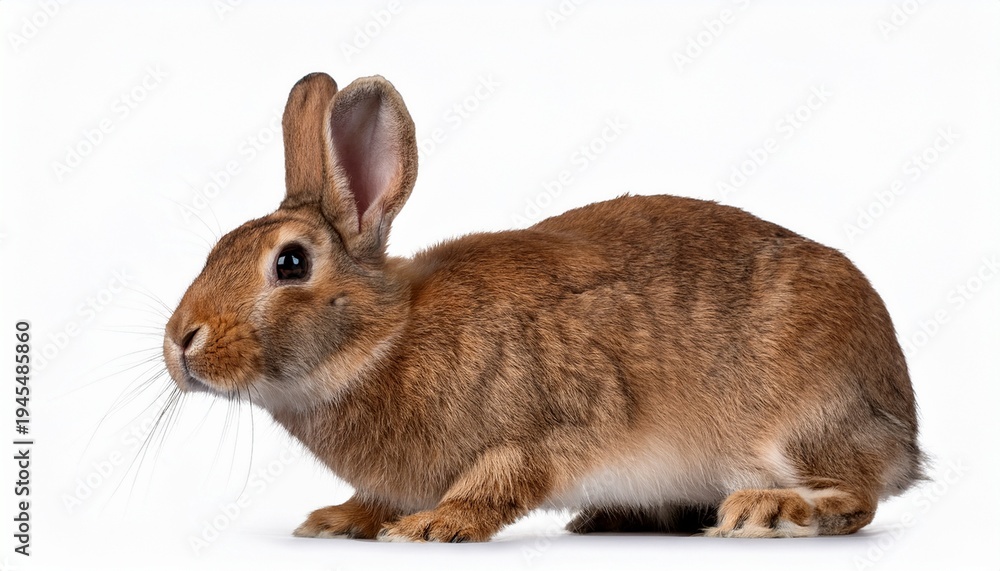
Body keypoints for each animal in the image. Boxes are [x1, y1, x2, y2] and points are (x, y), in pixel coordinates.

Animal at [162, 72, 925, 542]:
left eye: (290, 263)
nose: (180, 341)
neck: (387, 337)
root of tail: (904, 427)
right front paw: (337, 519)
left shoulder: (555, 420)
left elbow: (504, 476)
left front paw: (436, 526)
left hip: (803, 421)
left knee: (855, 497)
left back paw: (767, 510)